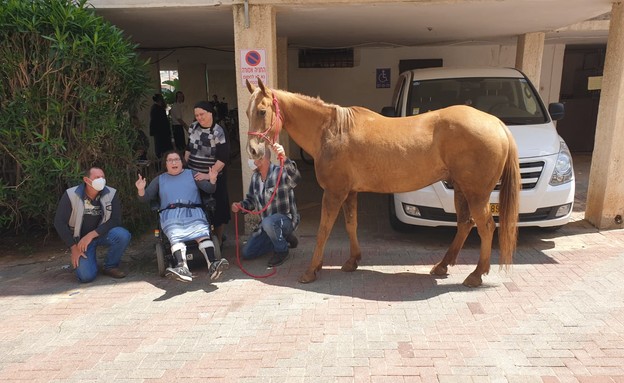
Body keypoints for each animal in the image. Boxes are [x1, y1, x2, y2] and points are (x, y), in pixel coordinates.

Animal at [244, 79, 520, 288]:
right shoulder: (350, 192)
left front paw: (312, 270)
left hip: (476, 194)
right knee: (465, 224)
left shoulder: (334, 192)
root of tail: (497, 123)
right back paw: (442, 266)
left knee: (486, 227)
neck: (332, 131)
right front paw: (352, 261)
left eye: (262, 111)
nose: (254, 151)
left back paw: (476, 275)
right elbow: (351, 225)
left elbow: (324, 230)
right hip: (462, 190)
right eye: (247, 112)